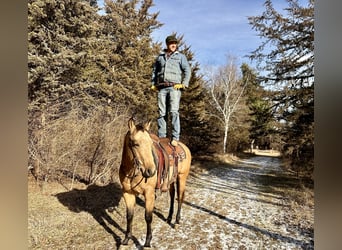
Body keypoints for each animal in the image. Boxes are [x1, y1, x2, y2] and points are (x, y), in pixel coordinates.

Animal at [119, 118, 191, 247]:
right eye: (135, 144)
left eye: (150, 143)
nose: (151, 171)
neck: (132, 172)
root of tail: (185, 147)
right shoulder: (127, 193)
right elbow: (129, 216)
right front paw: (126, 239)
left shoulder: (149, 194)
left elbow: (148, 217)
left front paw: (147, 242)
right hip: (170, 181)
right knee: (172, 196)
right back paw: (169, 218)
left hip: (182, 178)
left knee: (180, 197)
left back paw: (177, 220)